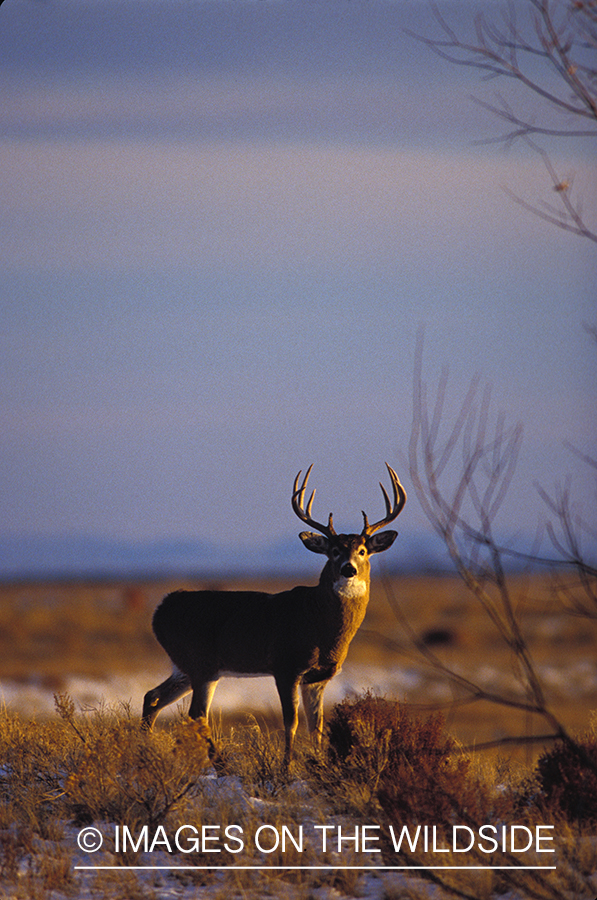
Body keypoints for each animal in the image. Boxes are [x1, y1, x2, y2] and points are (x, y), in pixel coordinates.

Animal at [143, 464, 406, 768]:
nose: (348, 569)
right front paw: (286, 767)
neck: (320, 624)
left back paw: (148, 751)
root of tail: (160, 609)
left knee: (153, 697)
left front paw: (318, 764)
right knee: (196, 714)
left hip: (184, 666)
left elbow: (316, 726)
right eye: (334, 551)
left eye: (362, 551)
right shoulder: (286, 665)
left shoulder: (318, 677)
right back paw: (220, 763)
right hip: (201, 663)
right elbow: (291, 722)